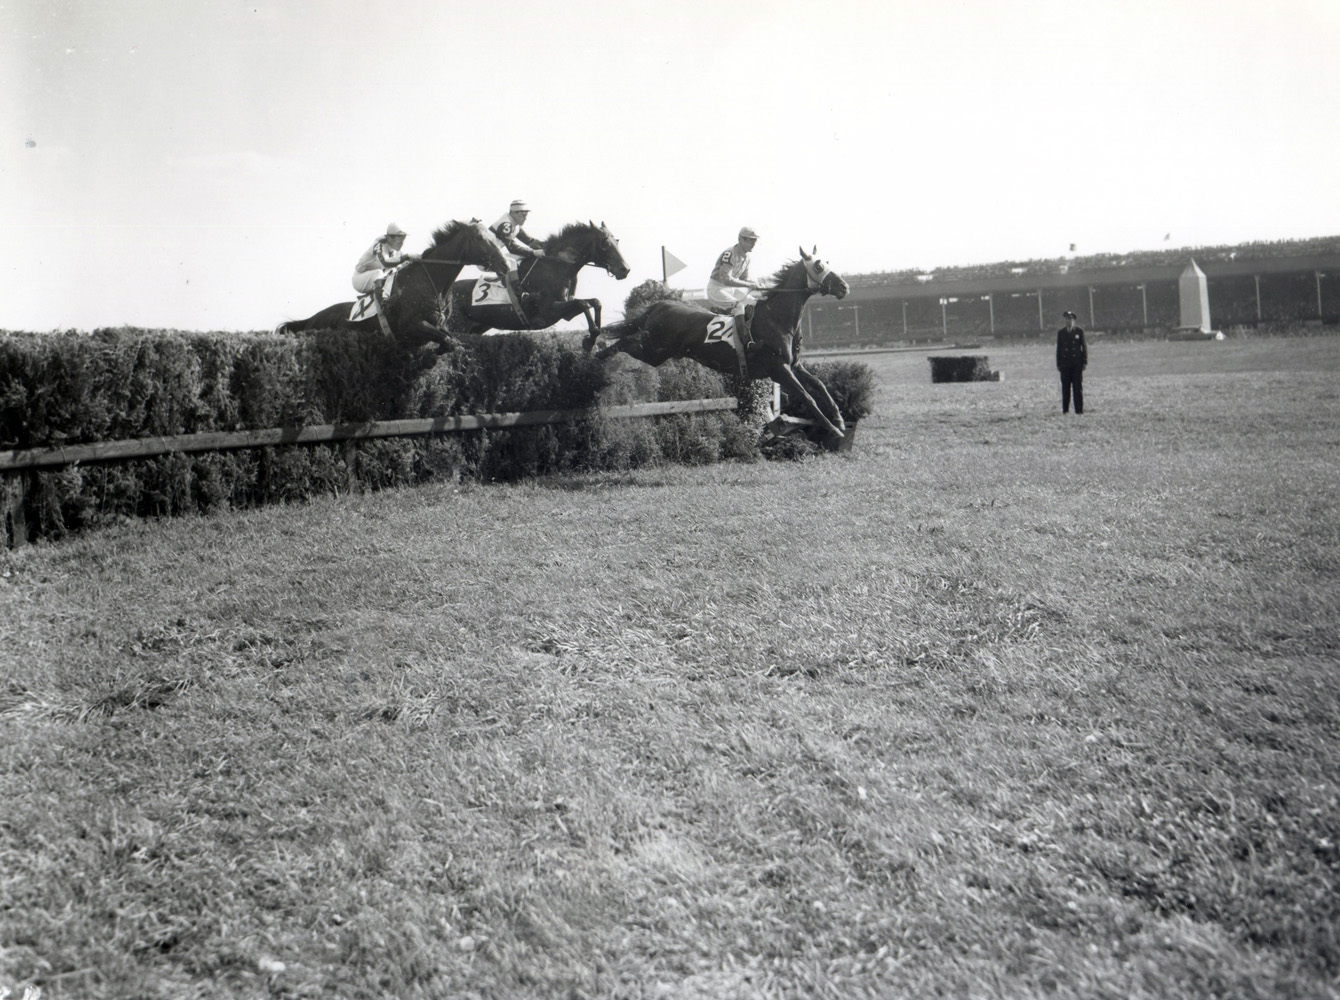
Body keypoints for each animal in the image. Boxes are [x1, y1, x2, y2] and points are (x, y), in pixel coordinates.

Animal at [277, 219, 517, 348]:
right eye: (481, 239)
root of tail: (310, 320)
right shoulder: (411, 324)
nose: (505, 265)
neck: (431, 280)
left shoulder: (439, 324)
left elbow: (448, 338)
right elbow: (447, 340)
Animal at [439, 219, 627, 336]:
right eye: (605, 244)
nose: (625, 269)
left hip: (475, 328)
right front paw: (592, 335)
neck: (556, 268)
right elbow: (583, 304)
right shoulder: (548, 310)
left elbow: (594, 301)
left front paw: (598, 330)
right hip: (456, 325)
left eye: (617, 241)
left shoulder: (565, 309)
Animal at [594, 247, 846, 434]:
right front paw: (833, 429)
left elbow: (819, 385)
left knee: (626, 340)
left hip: (656, 352)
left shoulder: (794, 365)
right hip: (653, 350)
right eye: (819, 266)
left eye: (828, 261)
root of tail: (661, 304)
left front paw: (839, 418)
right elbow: (807, 396)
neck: (777, 318)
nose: (844, 287)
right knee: (624, 342)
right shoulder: (778, 368)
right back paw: (596, 355)